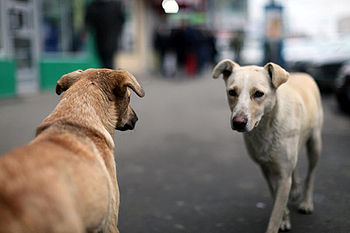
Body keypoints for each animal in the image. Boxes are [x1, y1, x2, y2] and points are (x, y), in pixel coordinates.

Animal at [212, 60, 324, 233]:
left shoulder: (283, 176)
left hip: (315, 144)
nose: (238, 122)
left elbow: (276, 212)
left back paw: (306, 202)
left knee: (311, 174)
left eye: (258, 94)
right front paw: (285, 218)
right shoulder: (265, 168)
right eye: (232, 92)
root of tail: (303, 74)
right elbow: (275, 195)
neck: (266, 127)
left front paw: (279, 221)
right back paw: (296, 190)